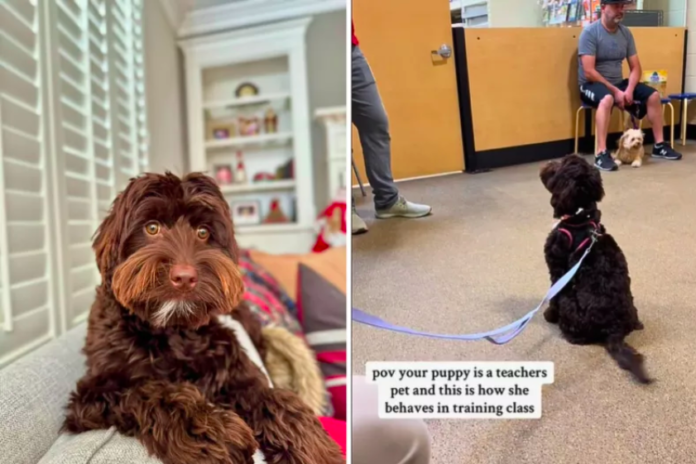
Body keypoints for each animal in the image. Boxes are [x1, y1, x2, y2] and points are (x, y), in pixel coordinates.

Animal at [540, 155, 652, 384]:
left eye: (559, 165)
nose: (549, 161)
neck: (580, 217)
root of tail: (614, 330)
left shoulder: (557, 270)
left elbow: (553, 296)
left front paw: (549, 314)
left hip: (570, 303)